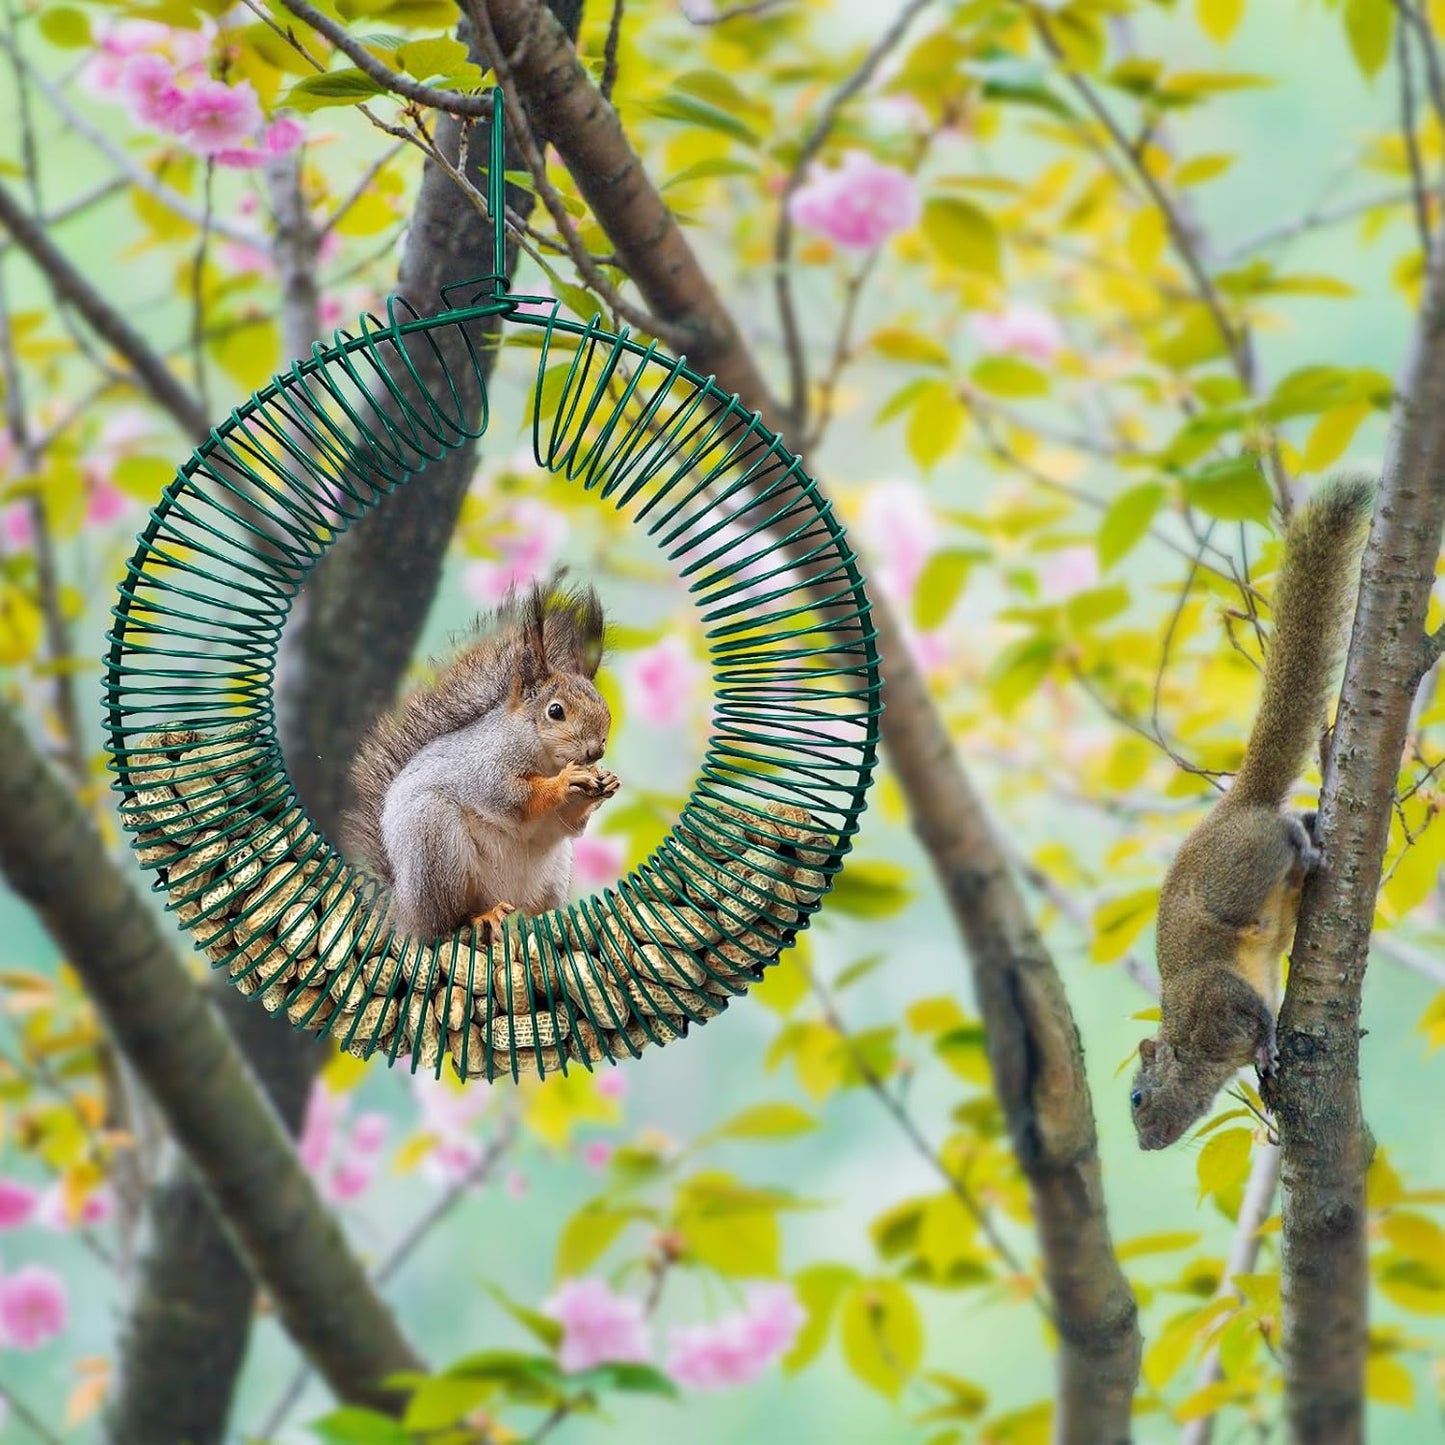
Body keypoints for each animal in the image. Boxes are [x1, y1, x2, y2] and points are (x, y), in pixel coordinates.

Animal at [342, 575, 621, 942]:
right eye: (555, 711)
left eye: (603, 707)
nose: (596, 751)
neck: (545, 757)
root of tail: (405, 912)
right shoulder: (486, 769)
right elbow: (515, 798)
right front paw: (564, 782)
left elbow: (570, 823)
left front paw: (605, 782)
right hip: (436, 842)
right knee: (450, 919)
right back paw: (482, 916)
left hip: (555, 873)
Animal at [1130, 475, 1374, 1151]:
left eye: (1136, 1098)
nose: (1146, 1143)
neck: (1199, 1054)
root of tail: (1238, 803)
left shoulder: (1214, 999)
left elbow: (1258, 1017)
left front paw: (1266, 1050)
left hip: (1237, 873)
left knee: (1281, 834)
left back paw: (1307, 843)